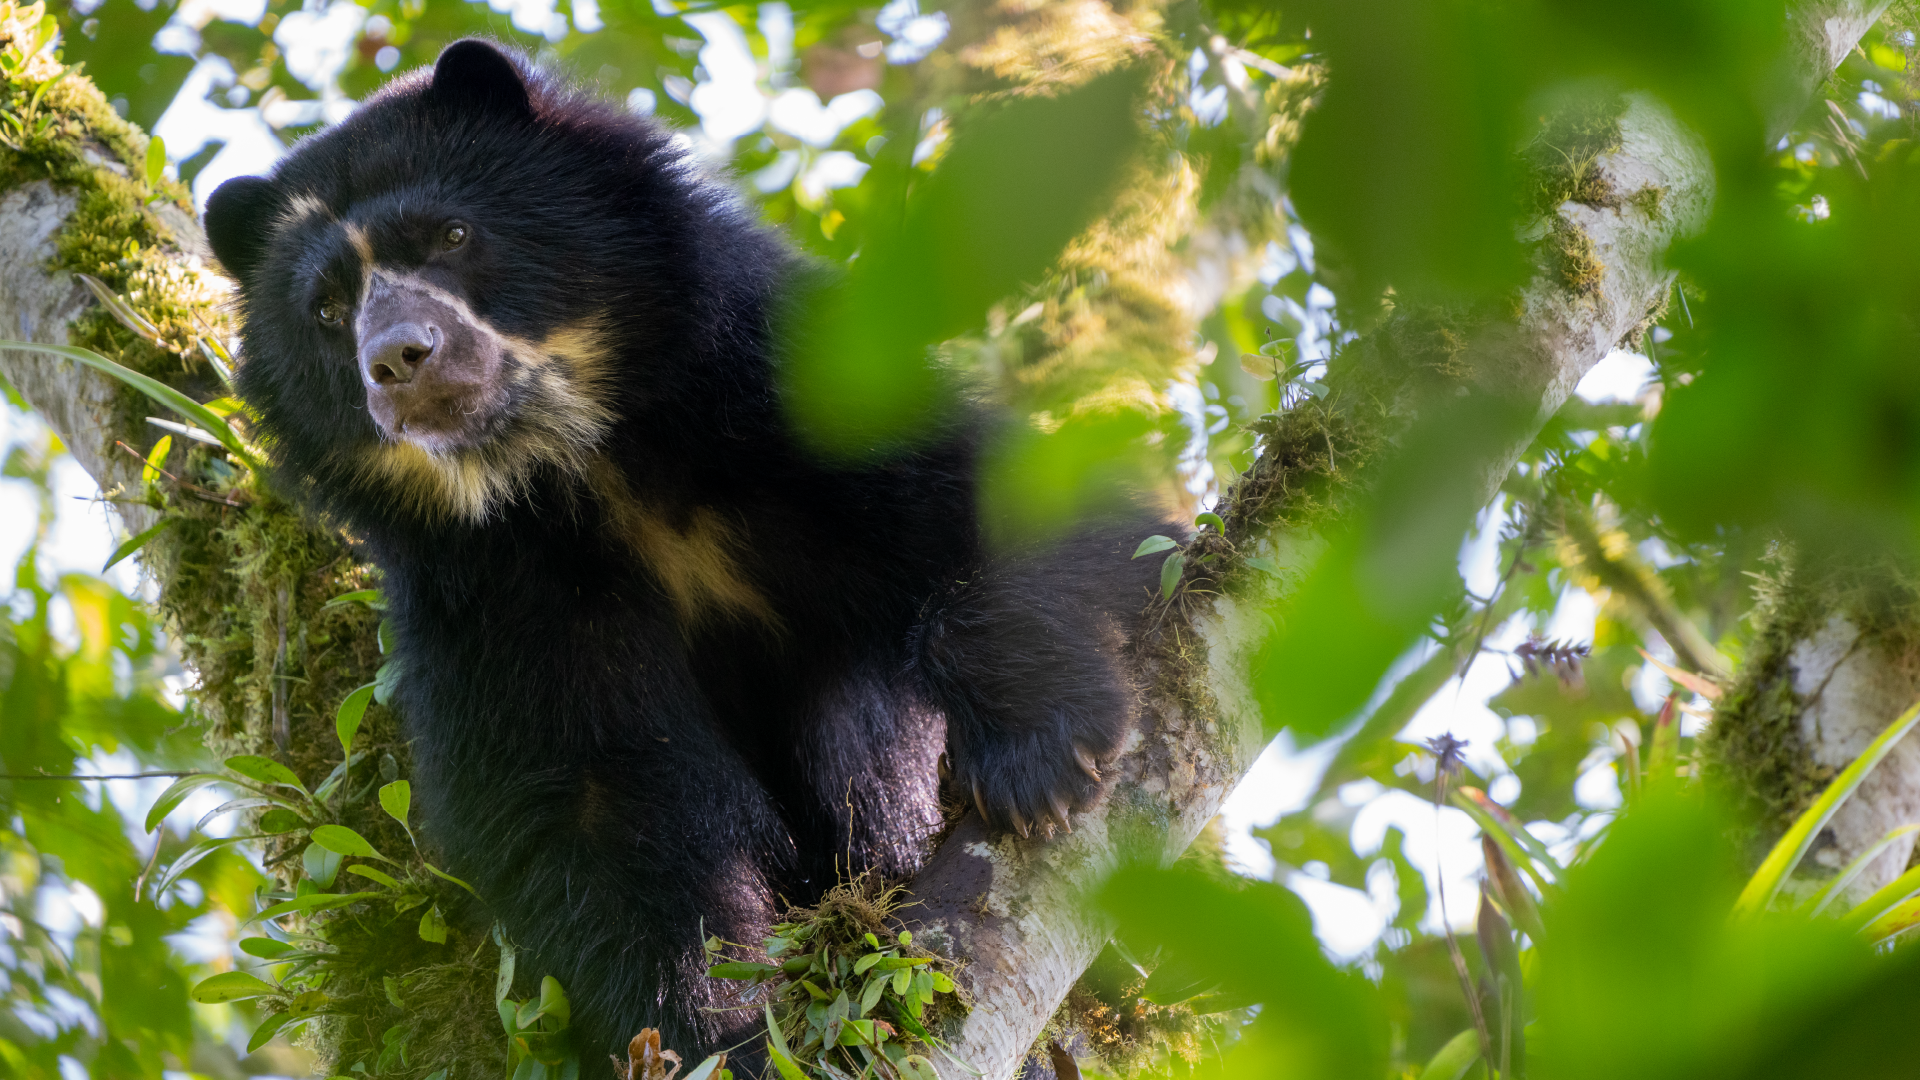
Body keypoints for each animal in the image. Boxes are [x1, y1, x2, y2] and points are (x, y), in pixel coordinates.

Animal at [203, 39, 1161, 1062]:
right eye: (325, 308)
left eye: (452, 236)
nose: (399, 360)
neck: (584, 460)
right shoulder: (496, 587)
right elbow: (603, 810)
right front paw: (719, 1035)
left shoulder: (780, 391)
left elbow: (1006, 506)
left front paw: (1039, 759)